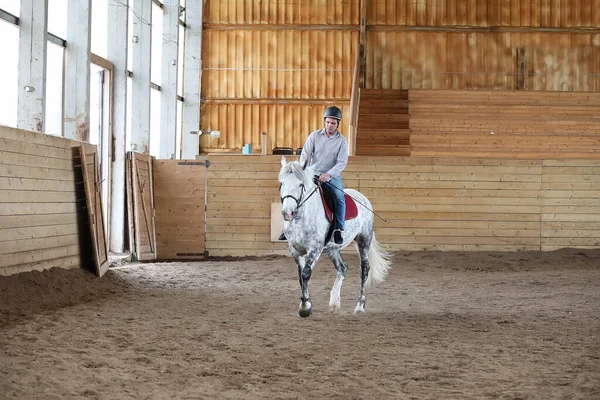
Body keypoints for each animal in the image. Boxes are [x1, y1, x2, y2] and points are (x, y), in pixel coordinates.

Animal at [278, 155, 392, 318]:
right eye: (281, 183)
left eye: (300, 185)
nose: (287, 213)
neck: (301, 218)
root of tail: (362, 197)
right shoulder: (295, 250)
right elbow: (301, 277)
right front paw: (307, 304)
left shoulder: (315, 249)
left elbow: (306, 273)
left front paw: (305, 307)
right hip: (333, 249)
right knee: (342, 268)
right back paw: (334, 302)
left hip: (363, 240)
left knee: (364, 269)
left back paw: (359, 306)